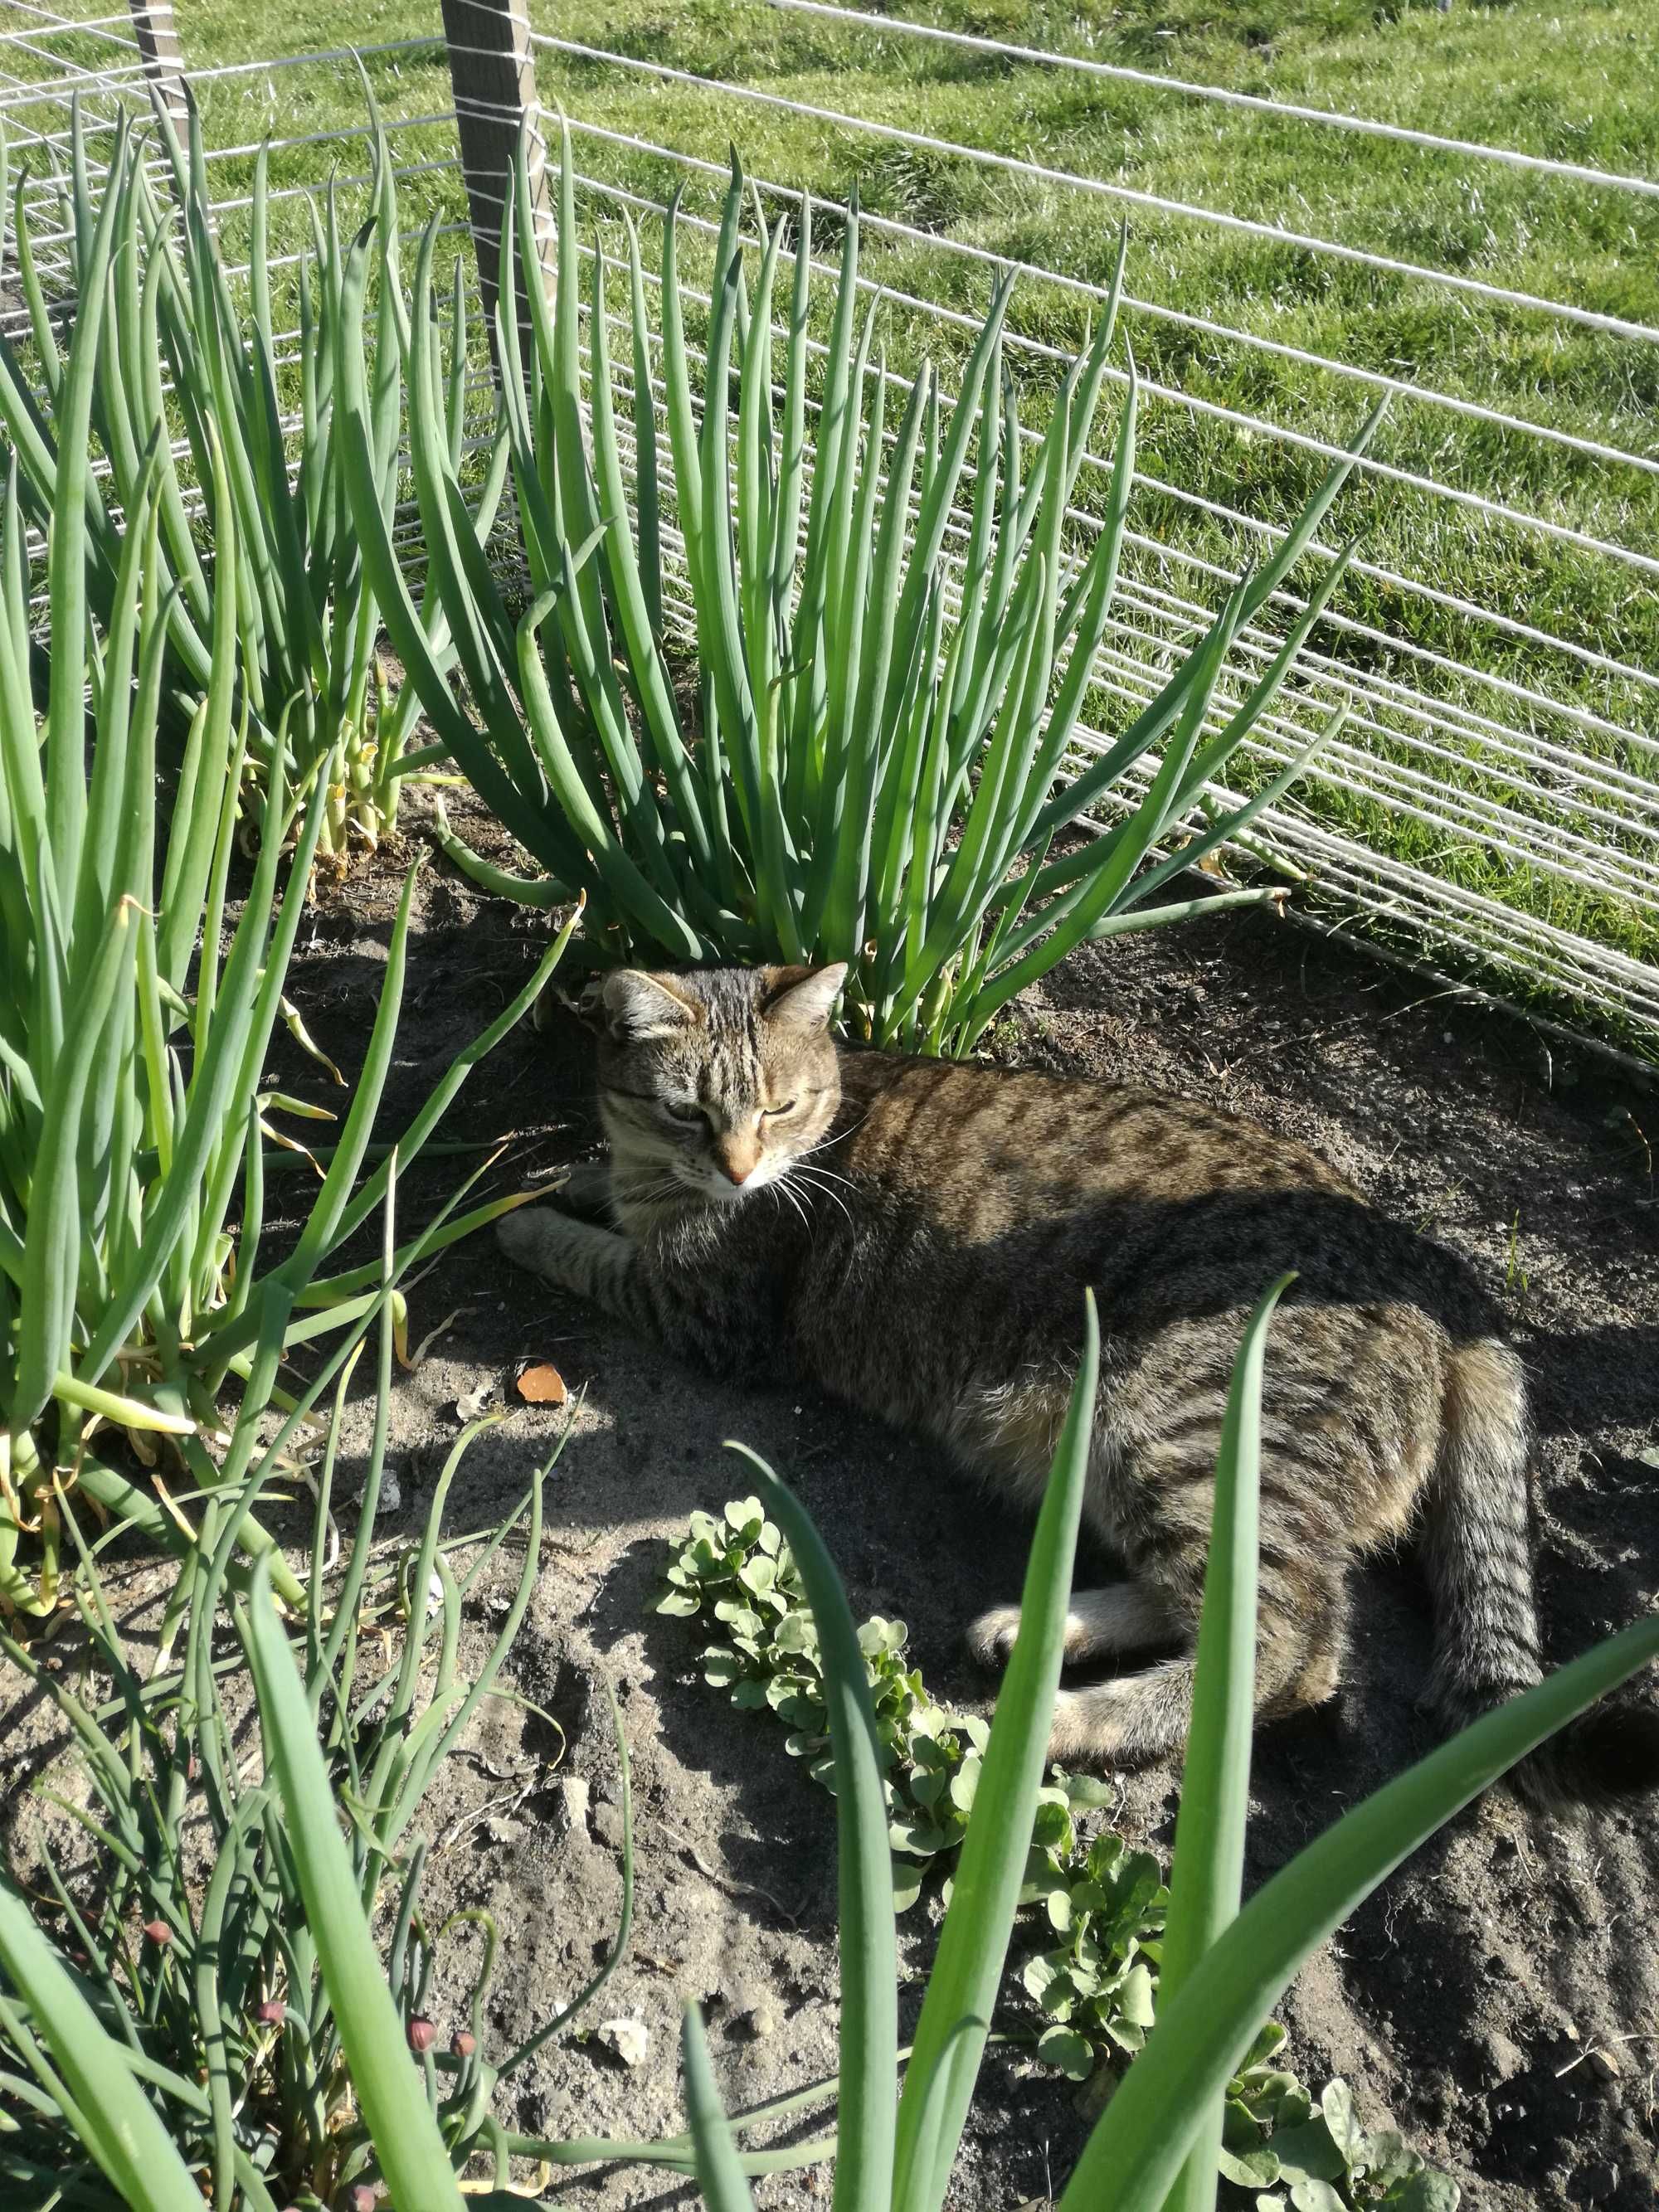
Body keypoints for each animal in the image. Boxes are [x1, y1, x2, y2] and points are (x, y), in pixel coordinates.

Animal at [498, 964, 1659, 1796]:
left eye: (777, 1108)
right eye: (690, 1112)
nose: (738, 1167)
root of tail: (1438, 1274)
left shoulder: (712, 1315)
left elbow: (592, 1253)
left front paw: (524, 1221)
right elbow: (603, 1194)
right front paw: (572, 1177)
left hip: (1174, 1424)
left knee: (1287, 1648)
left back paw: (1053, 1723)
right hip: (1121, 1445)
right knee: (1204, 1597)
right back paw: (1037, 1629)